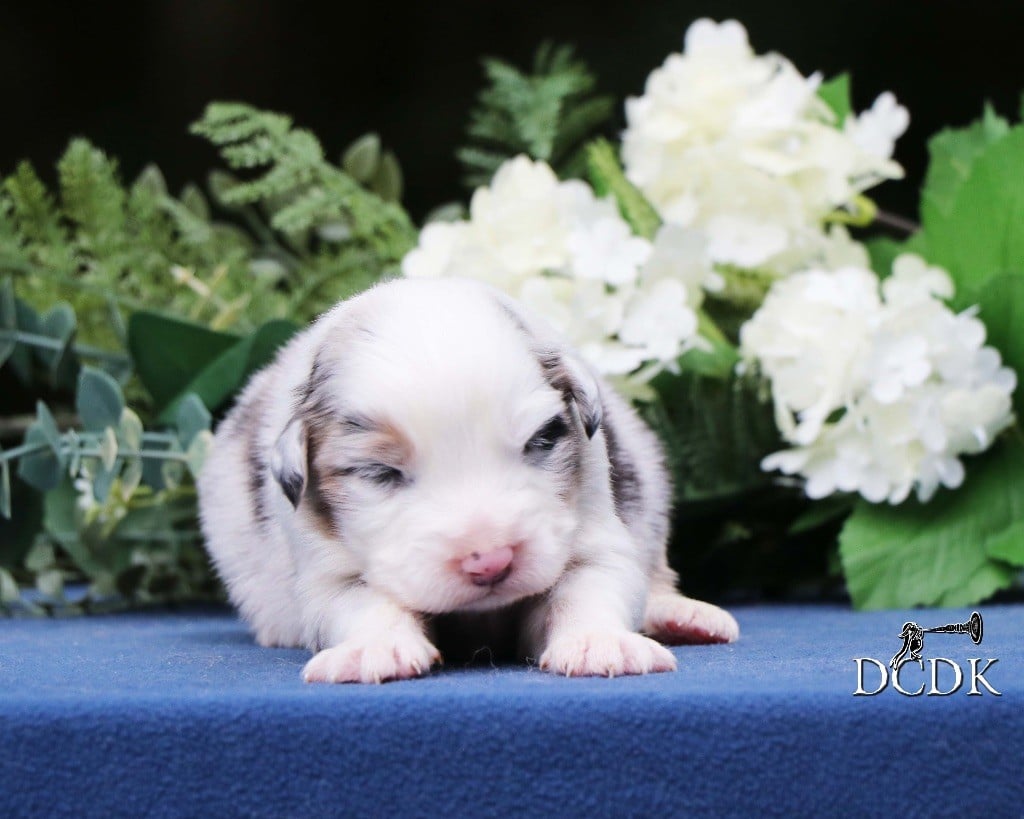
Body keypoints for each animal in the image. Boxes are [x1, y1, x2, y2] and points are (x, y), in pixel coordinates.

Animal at [195, 278, 741, 679]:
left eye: (541, 440)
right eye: (379, 472)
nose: (490, 560)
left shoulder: (592, 528)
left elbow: (589, 585)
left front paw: (600, 643)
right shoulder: (327, 565)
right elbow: (359, 602)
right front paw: (374, 649)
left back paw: (683, 617)